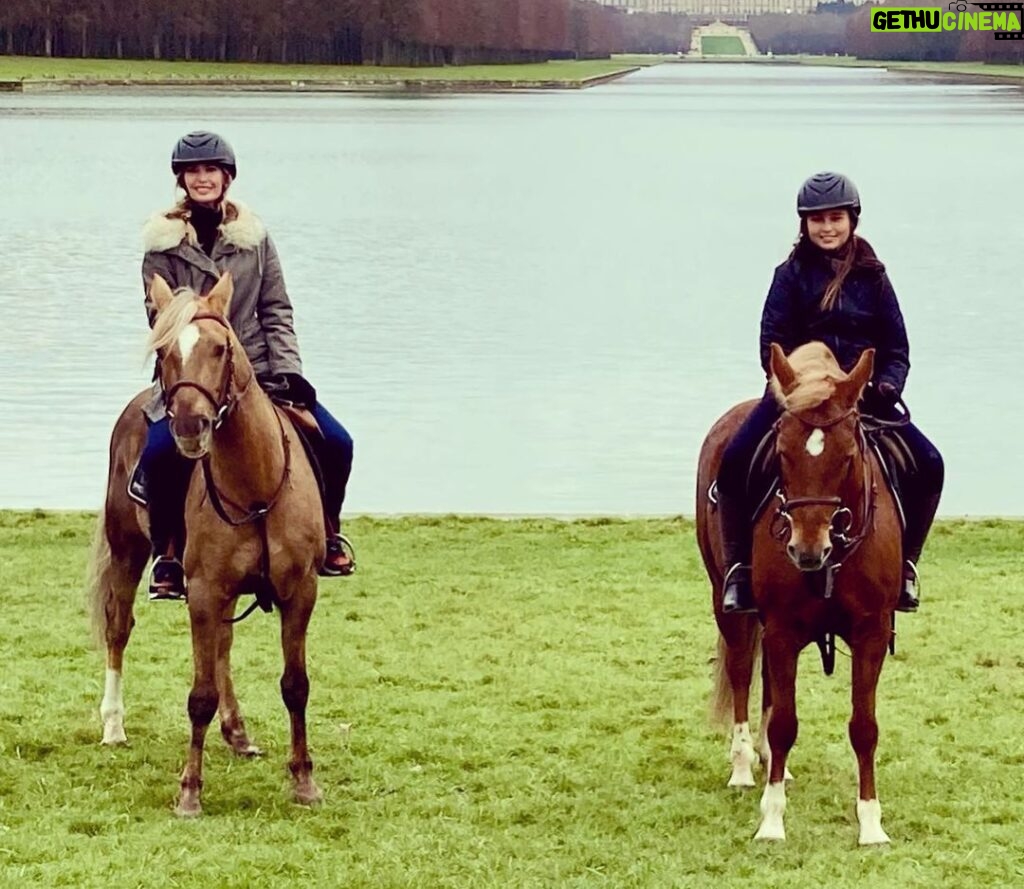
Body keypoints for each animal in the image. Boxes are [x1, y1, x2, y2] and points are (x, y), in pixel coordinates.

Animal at [91, 274, 325, 815]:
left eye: (221, 348)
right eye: (164, 351)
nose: (189, 425)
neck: (255, 487)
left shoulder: (299, 591)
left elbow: (295, 685)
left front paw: (304, 781)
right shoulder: (202, 590)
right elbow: (199, 695)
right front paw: (190, 791)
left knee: (222, 646)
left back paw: (237, 732)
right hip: (128, 552)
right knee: (118, 629)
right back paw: (113, 724)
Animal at [700, 342, 901, 848]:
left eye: (847, 455)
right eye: (782, 454)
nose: (807, 549)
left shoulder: (871, 633)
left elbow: (864, 727)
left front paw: (871, 823)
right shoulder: (782, 629)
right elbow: (784, 723)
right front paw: (772, 822)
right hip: (730, 608)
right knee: (741, 674)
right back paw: (743, 765)